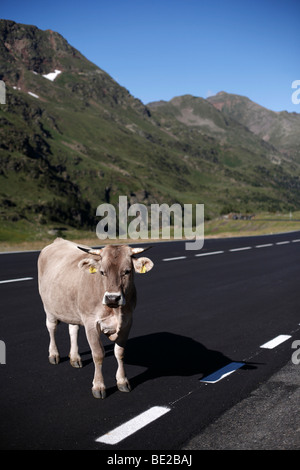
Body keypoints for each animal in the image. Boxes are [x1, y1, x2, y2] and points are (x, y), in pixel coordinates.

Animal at [37, 239, 154, 396]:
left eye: (127, 271)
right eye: (102, 272)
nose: (112, 298)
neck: (114, 310)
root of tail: (58, 240)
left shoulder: (127, 322)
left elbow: (120, 352)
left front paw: (122, 381)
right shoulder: (91, 323)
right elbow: (98, 354)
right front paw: (98, 386)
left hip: (73, 310)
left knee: (73, 330)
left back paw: (75, 358)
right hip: (49, 307)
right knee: (51, 328)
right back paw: (54, 355)